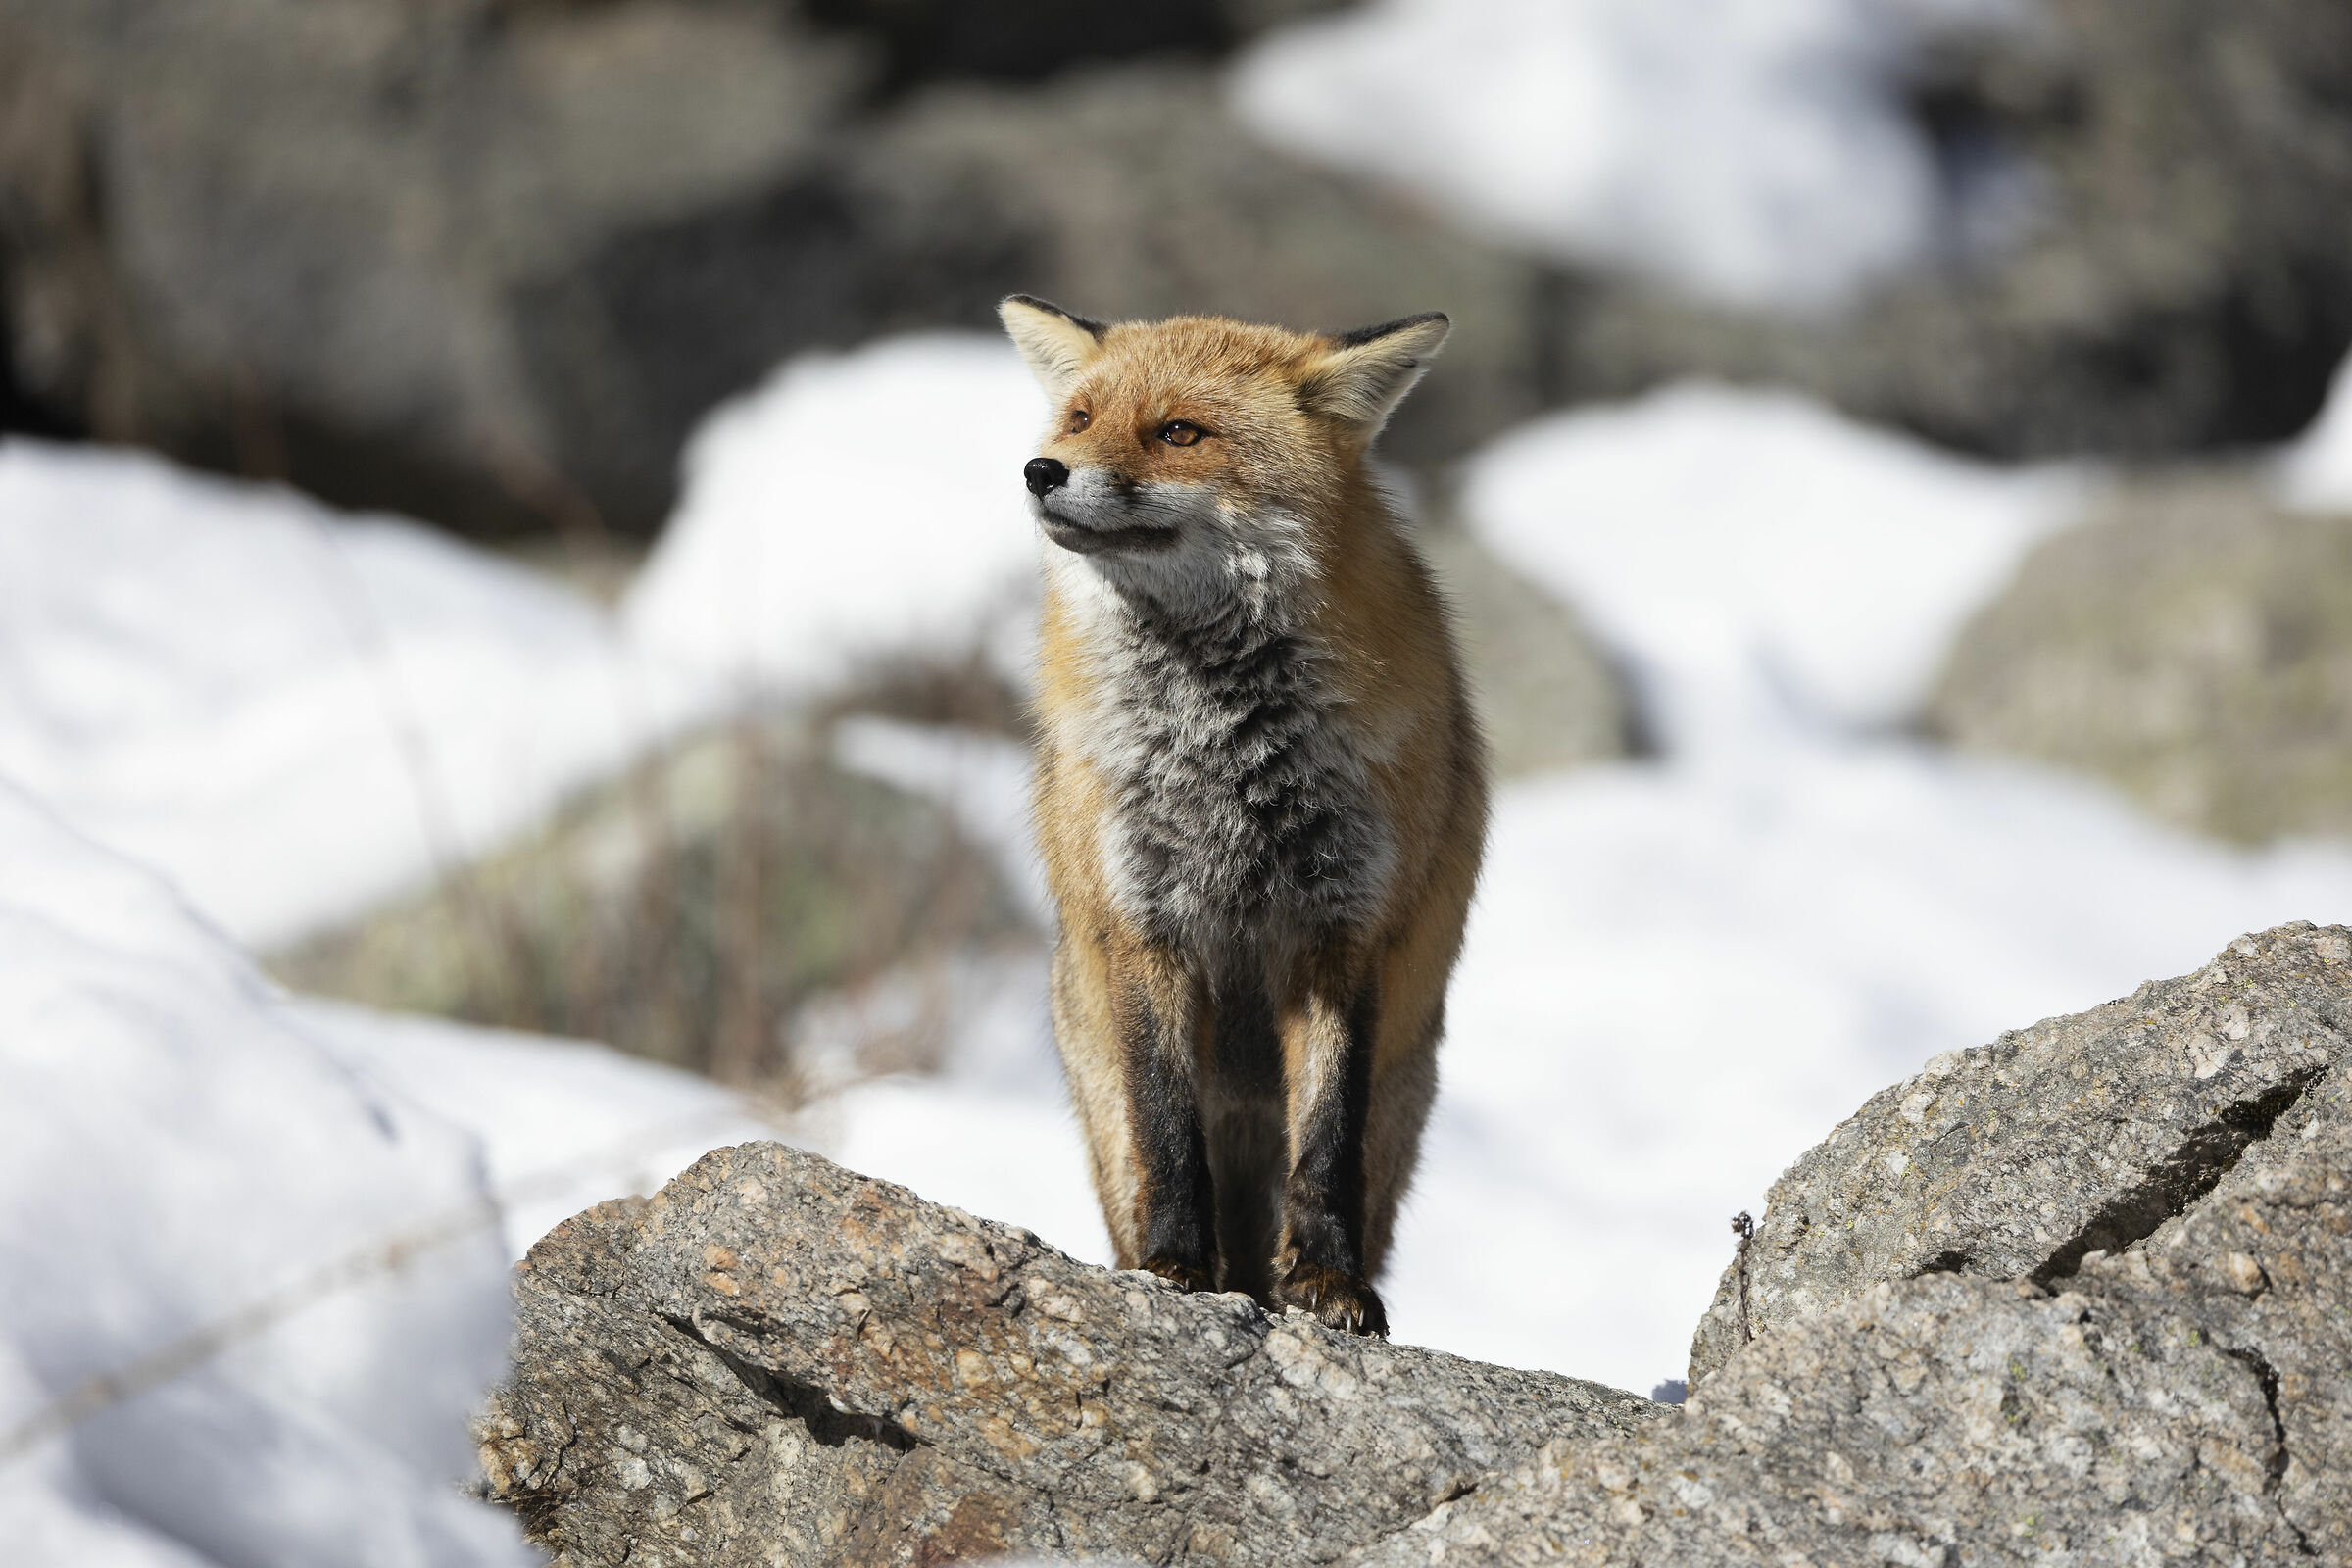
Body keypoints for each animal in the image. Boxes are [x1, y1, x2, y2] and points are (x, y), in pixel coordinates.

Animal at [999, 295, 1489, 1336]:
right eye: (1081, 418)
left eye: (1180, 433)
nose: (1041, 471)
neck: (1222, 745)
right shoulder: (1143, 920)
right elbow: (1167, 1128)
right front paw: (1177, 1270)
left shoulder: (1344, 929)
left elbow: (1328, 1142)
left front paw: (1330, 1282)